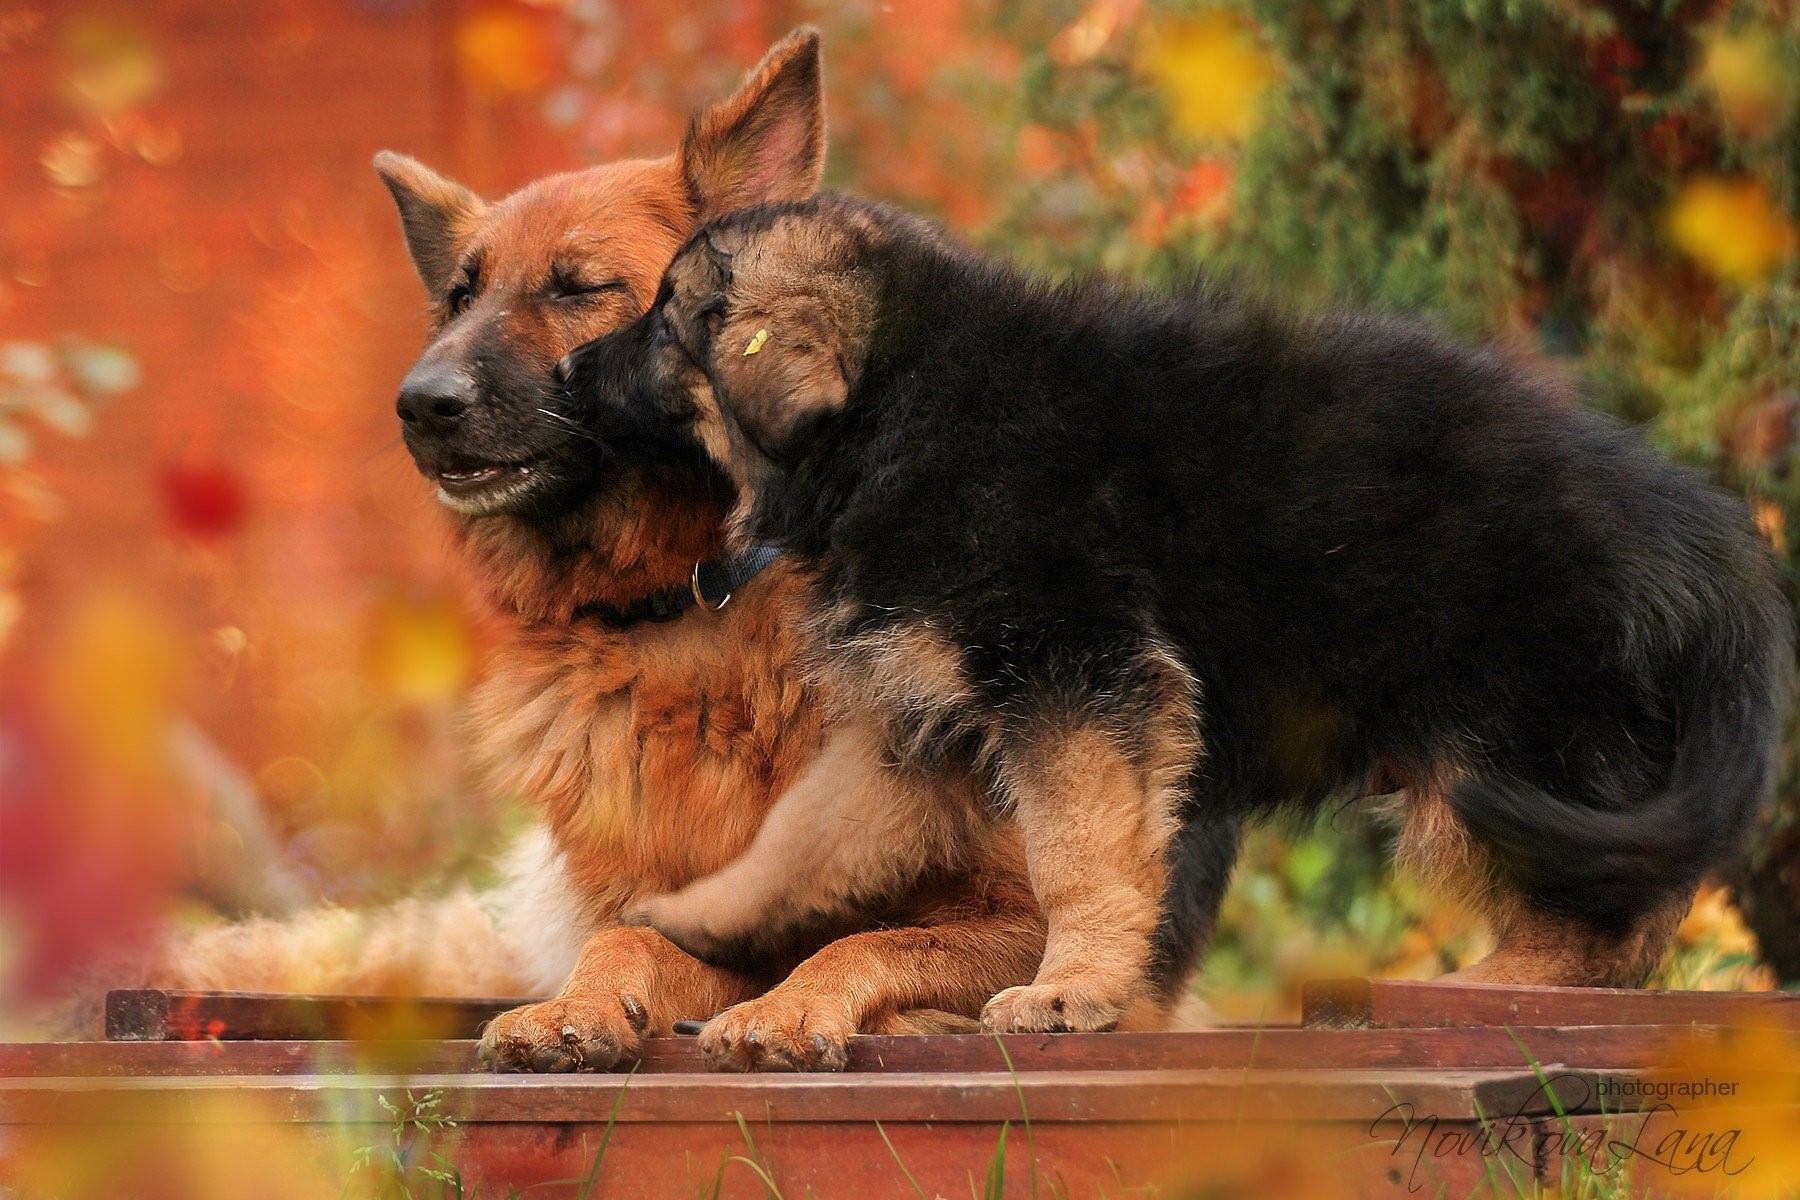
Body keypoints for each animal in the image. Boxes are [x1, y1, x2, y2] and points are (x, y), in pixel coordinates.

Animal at [165, 35, 1051, 1079]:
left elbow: (873, 940)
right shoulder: (679, 917)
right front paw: (579, 1008)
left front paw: (802, 1009)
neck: (695, 598)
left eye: (578, 288)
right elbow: (628, 939)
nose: (419, 404)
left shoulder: (1044, 922)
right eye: (460, 297)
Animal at [558, 195, 1785, 1036]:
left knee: (1607, 921)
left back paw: (1493, 985)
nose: (567, 372)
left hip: (1516, 742)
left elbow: (1079, 855)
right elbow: (807, 831)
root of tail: (1704, 533)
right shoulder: (926, 712)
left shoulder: (1075, 672)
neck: (900, 402)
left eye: (665, 321)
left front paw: (1073, 987)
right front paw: (702, 916)